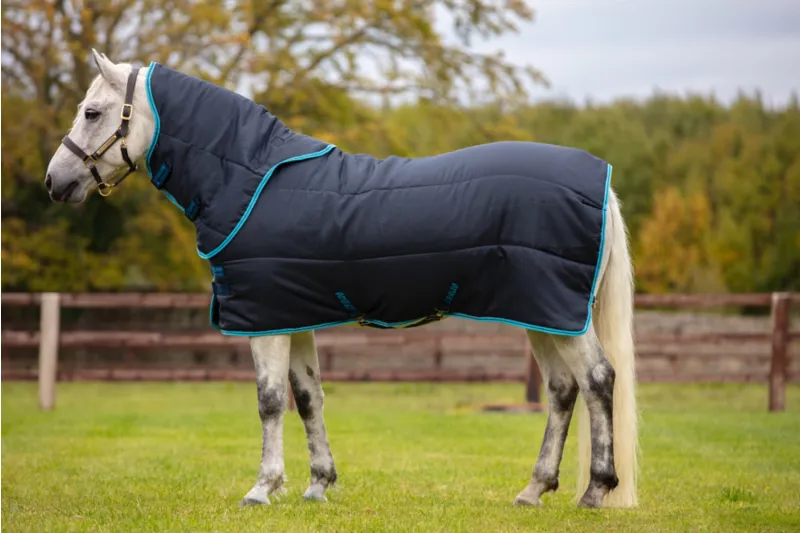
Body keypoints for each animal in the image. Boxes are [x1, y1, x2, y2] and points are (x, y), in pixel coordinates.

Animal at [45, 50, 638, 509]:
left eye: (92, 112)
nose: (55, 182)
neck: (248, 179)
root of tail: (603, 182)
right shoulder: (291, 315)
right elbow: (309, 398)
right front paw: (317, 486)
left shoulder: (265, 321)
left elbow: (269, 401)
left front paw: (262, 489)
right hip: (542, 314)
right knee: (563, 390)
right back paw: (533, 491)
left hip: (557, 314)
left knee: (597, 380)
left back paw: (595, 491)